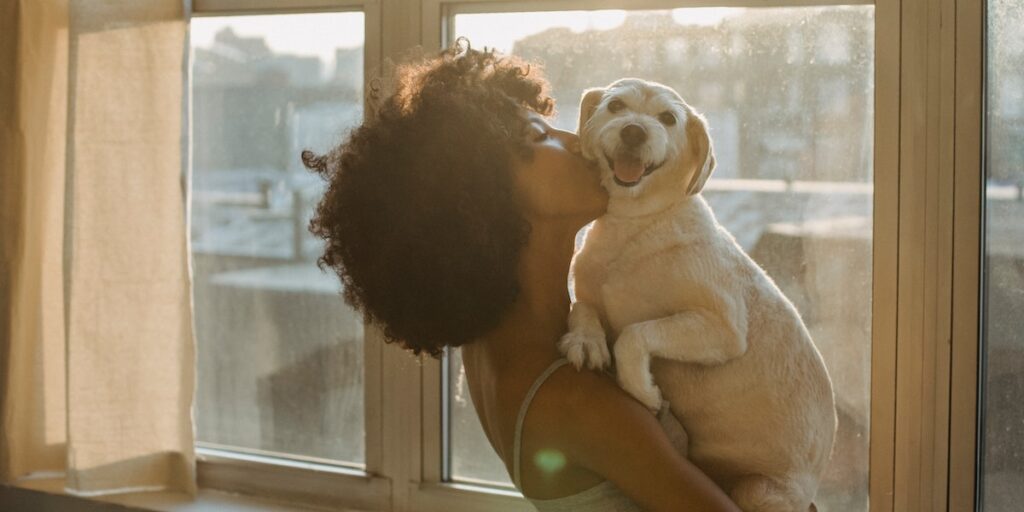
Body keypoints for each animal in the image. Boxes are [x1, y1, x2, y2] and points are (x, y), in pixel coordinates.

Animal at [561, 76, 839, 512]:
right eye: (616, 106)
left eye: (668, 118)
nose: (634, 131)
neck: (635, 226)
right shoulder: (588, 289)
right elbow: (584, 308)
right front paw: (586, 341)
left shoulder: (721, 329)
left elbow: (635, 334)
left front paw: (642, 389)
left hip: (759, 490)